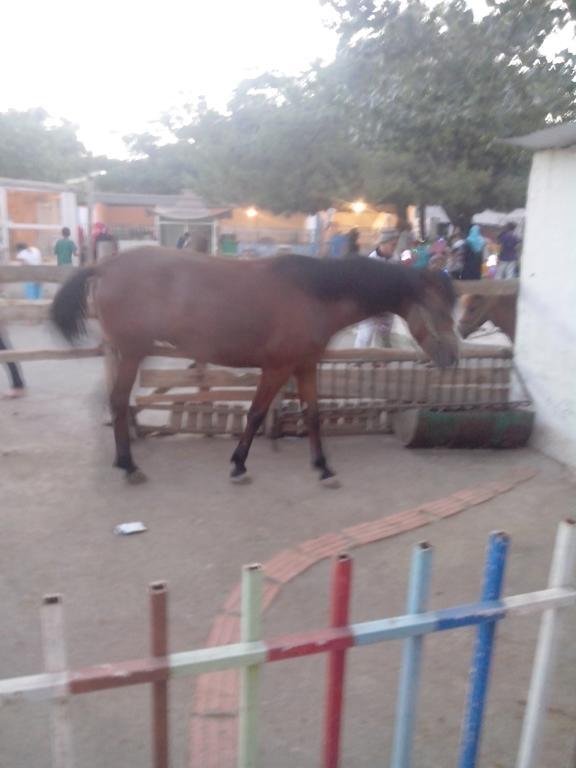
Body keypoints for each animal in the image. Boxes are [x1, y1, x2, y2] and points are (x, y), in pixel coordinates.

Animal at [50, 249, 460, 484]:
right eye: (437, 310)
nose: (452, 358)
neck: (315, 294)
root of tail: (105, 265)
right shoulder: (276, 369)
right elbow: (256, 413)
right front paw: (238, 464)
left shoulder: (304, 366)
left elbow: (313, 415)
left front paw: (323, 466)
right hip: (133, 353)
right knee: (119, 402)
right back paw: (128, 465)